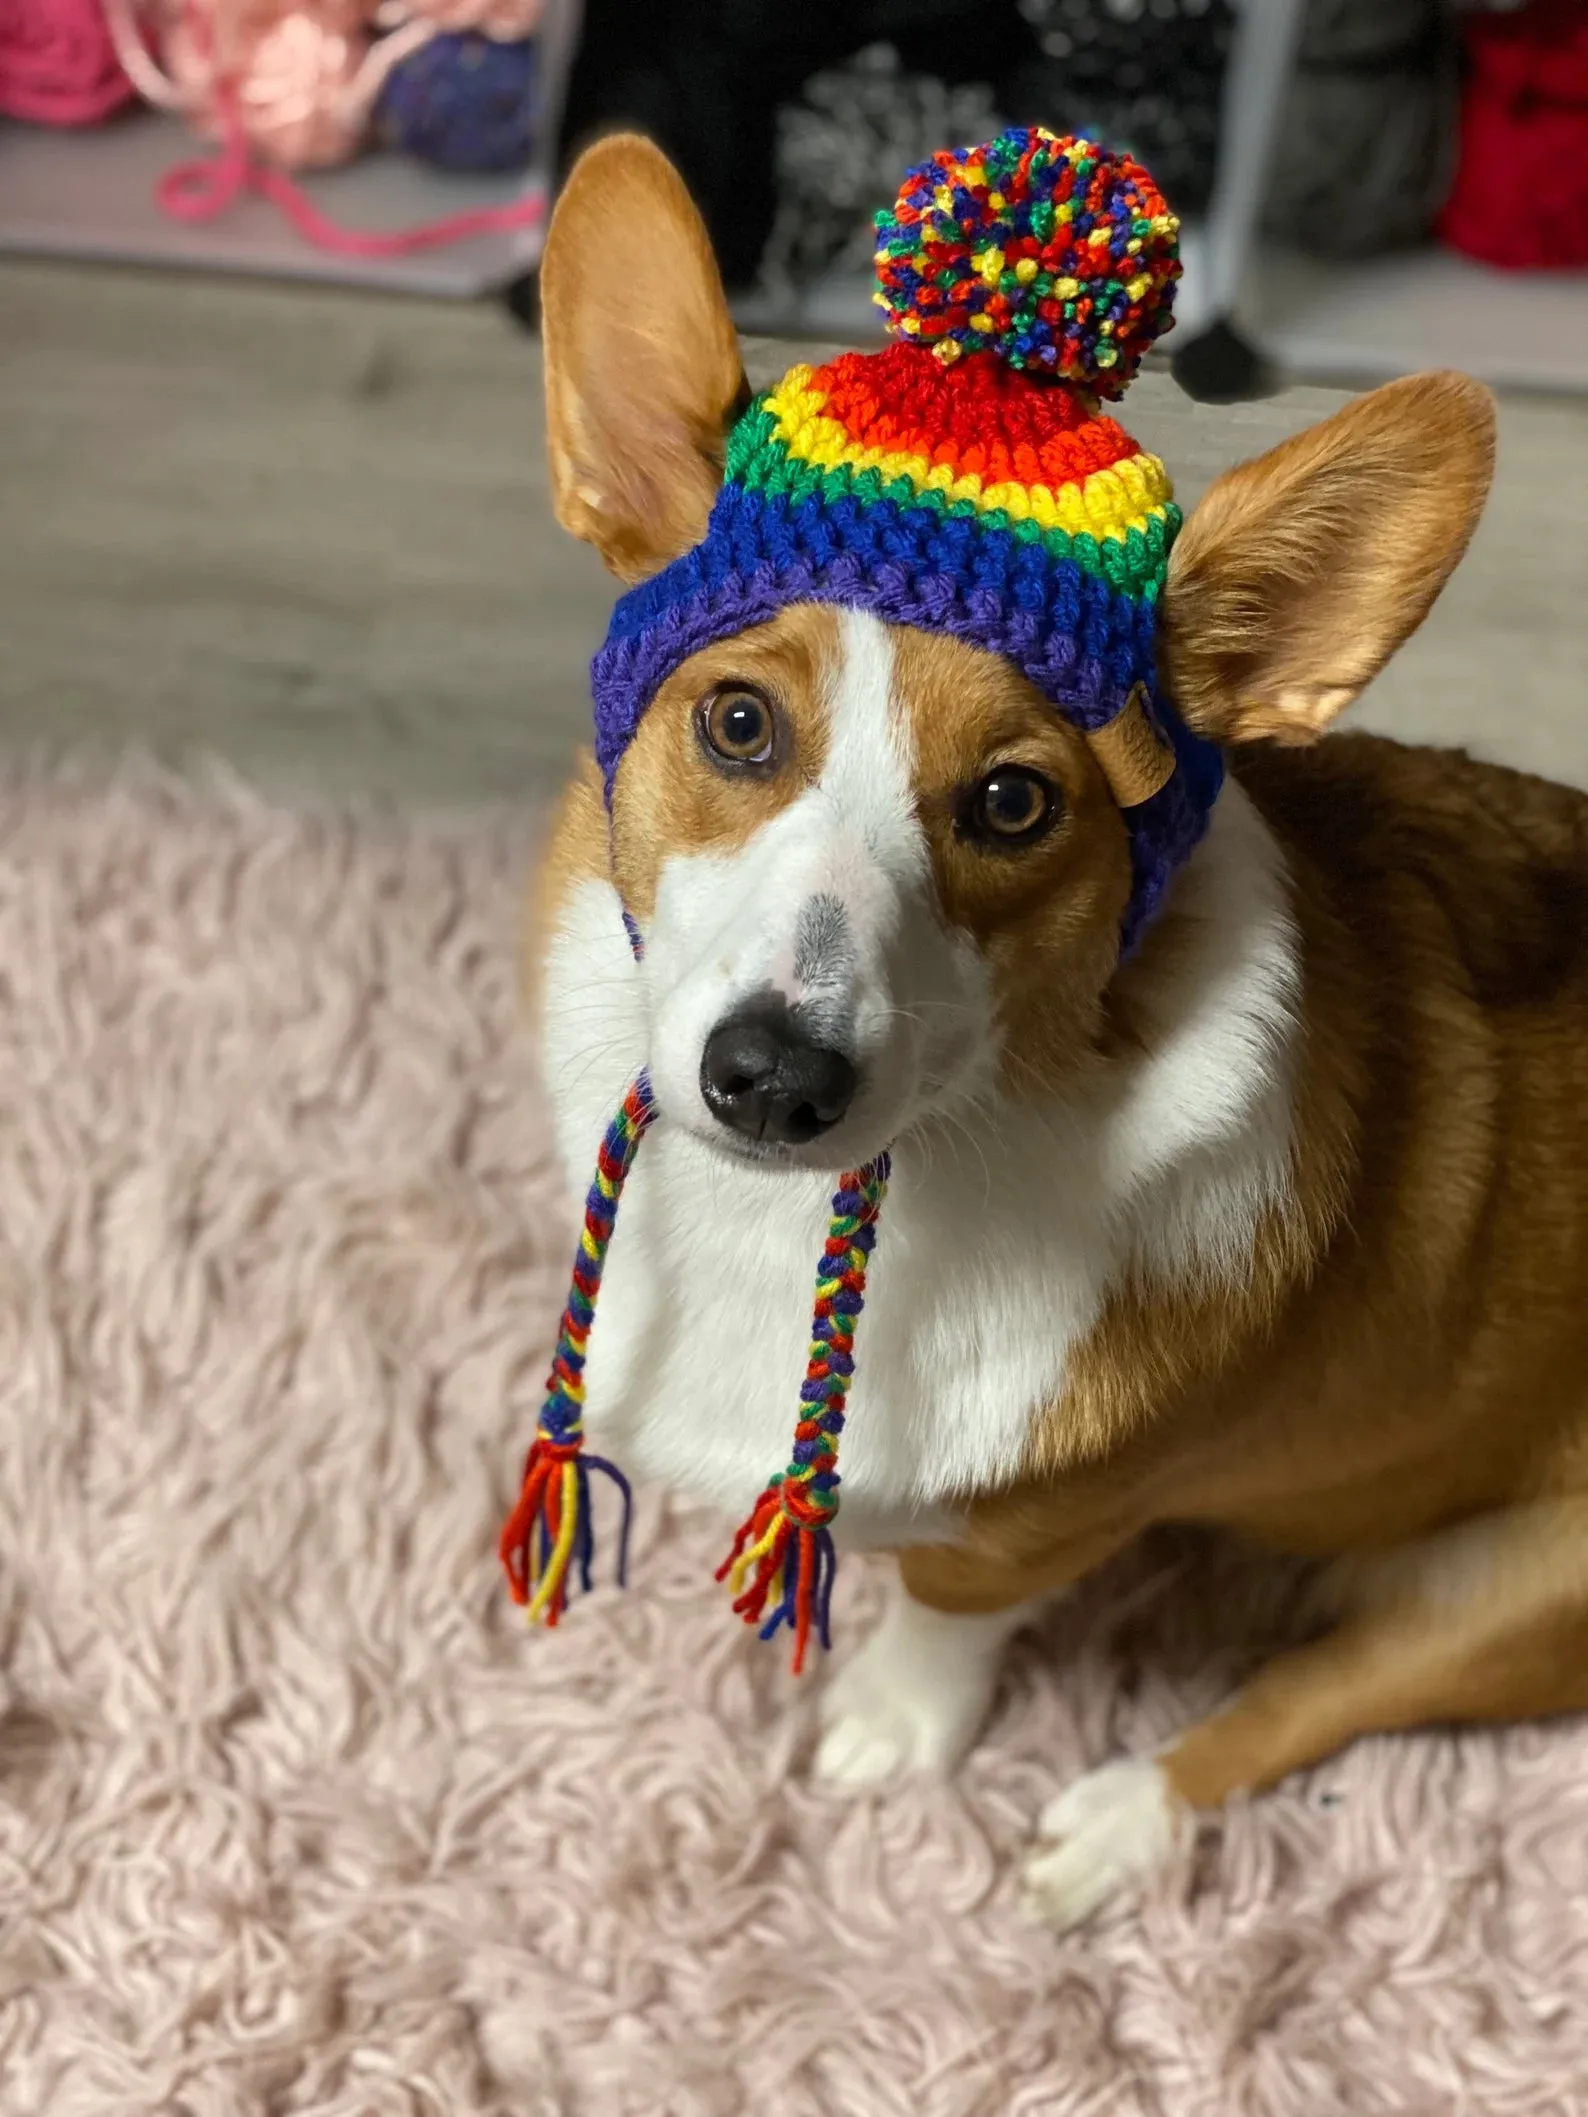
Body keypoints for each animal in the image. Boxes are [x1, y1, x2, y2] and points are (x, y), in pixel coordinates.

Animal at [525, 123, 1588, 1930]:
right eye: (736, 722)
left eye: (1015, 803)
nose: (771, 1081)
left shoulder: (1029, 1530)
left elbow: (944, 1619)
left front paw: (886, 1731)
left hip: (1510, 1599)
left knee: (1303, 1698)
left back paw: (1109, 1825)